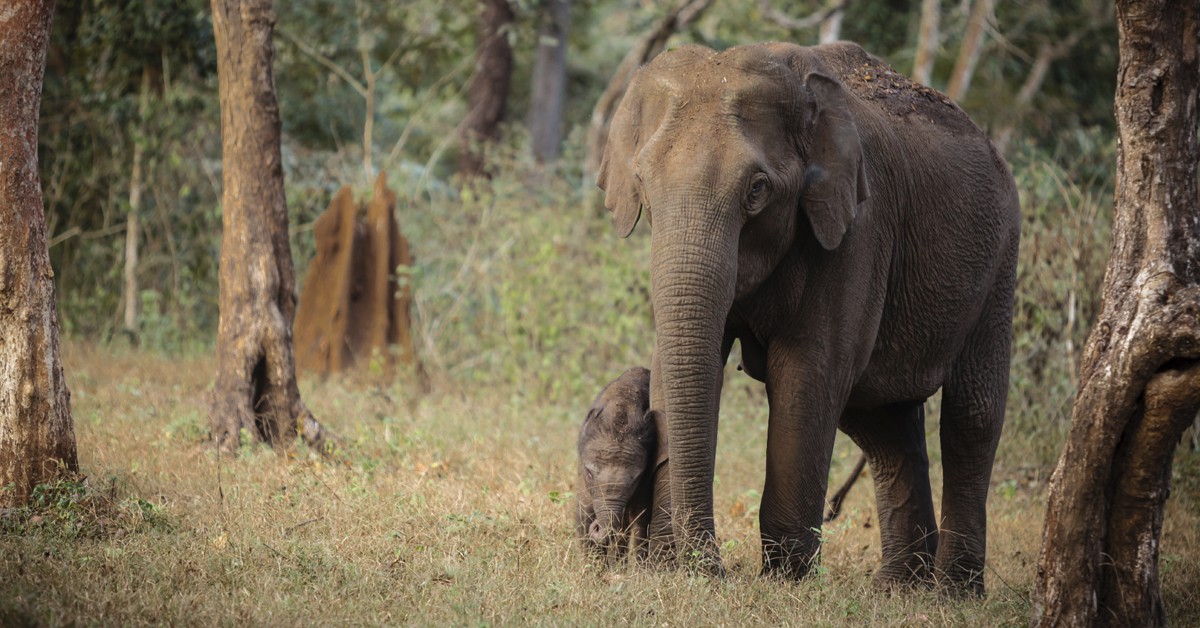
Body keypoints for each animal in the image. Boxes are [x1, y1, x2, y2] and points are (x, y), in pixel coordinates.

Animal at [597, 41, 1020, 594]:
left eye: (757, 190)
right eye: (643, 185)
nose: (710, 566)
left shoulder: (857, 229)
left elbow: (808, 372)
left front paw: (784, 580)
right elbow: (682, 361)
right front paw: (674, 568)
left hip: (1001, 259)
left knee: (971, 414)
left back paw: (953, 593)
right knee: (883, 424)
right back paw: (900, 589)